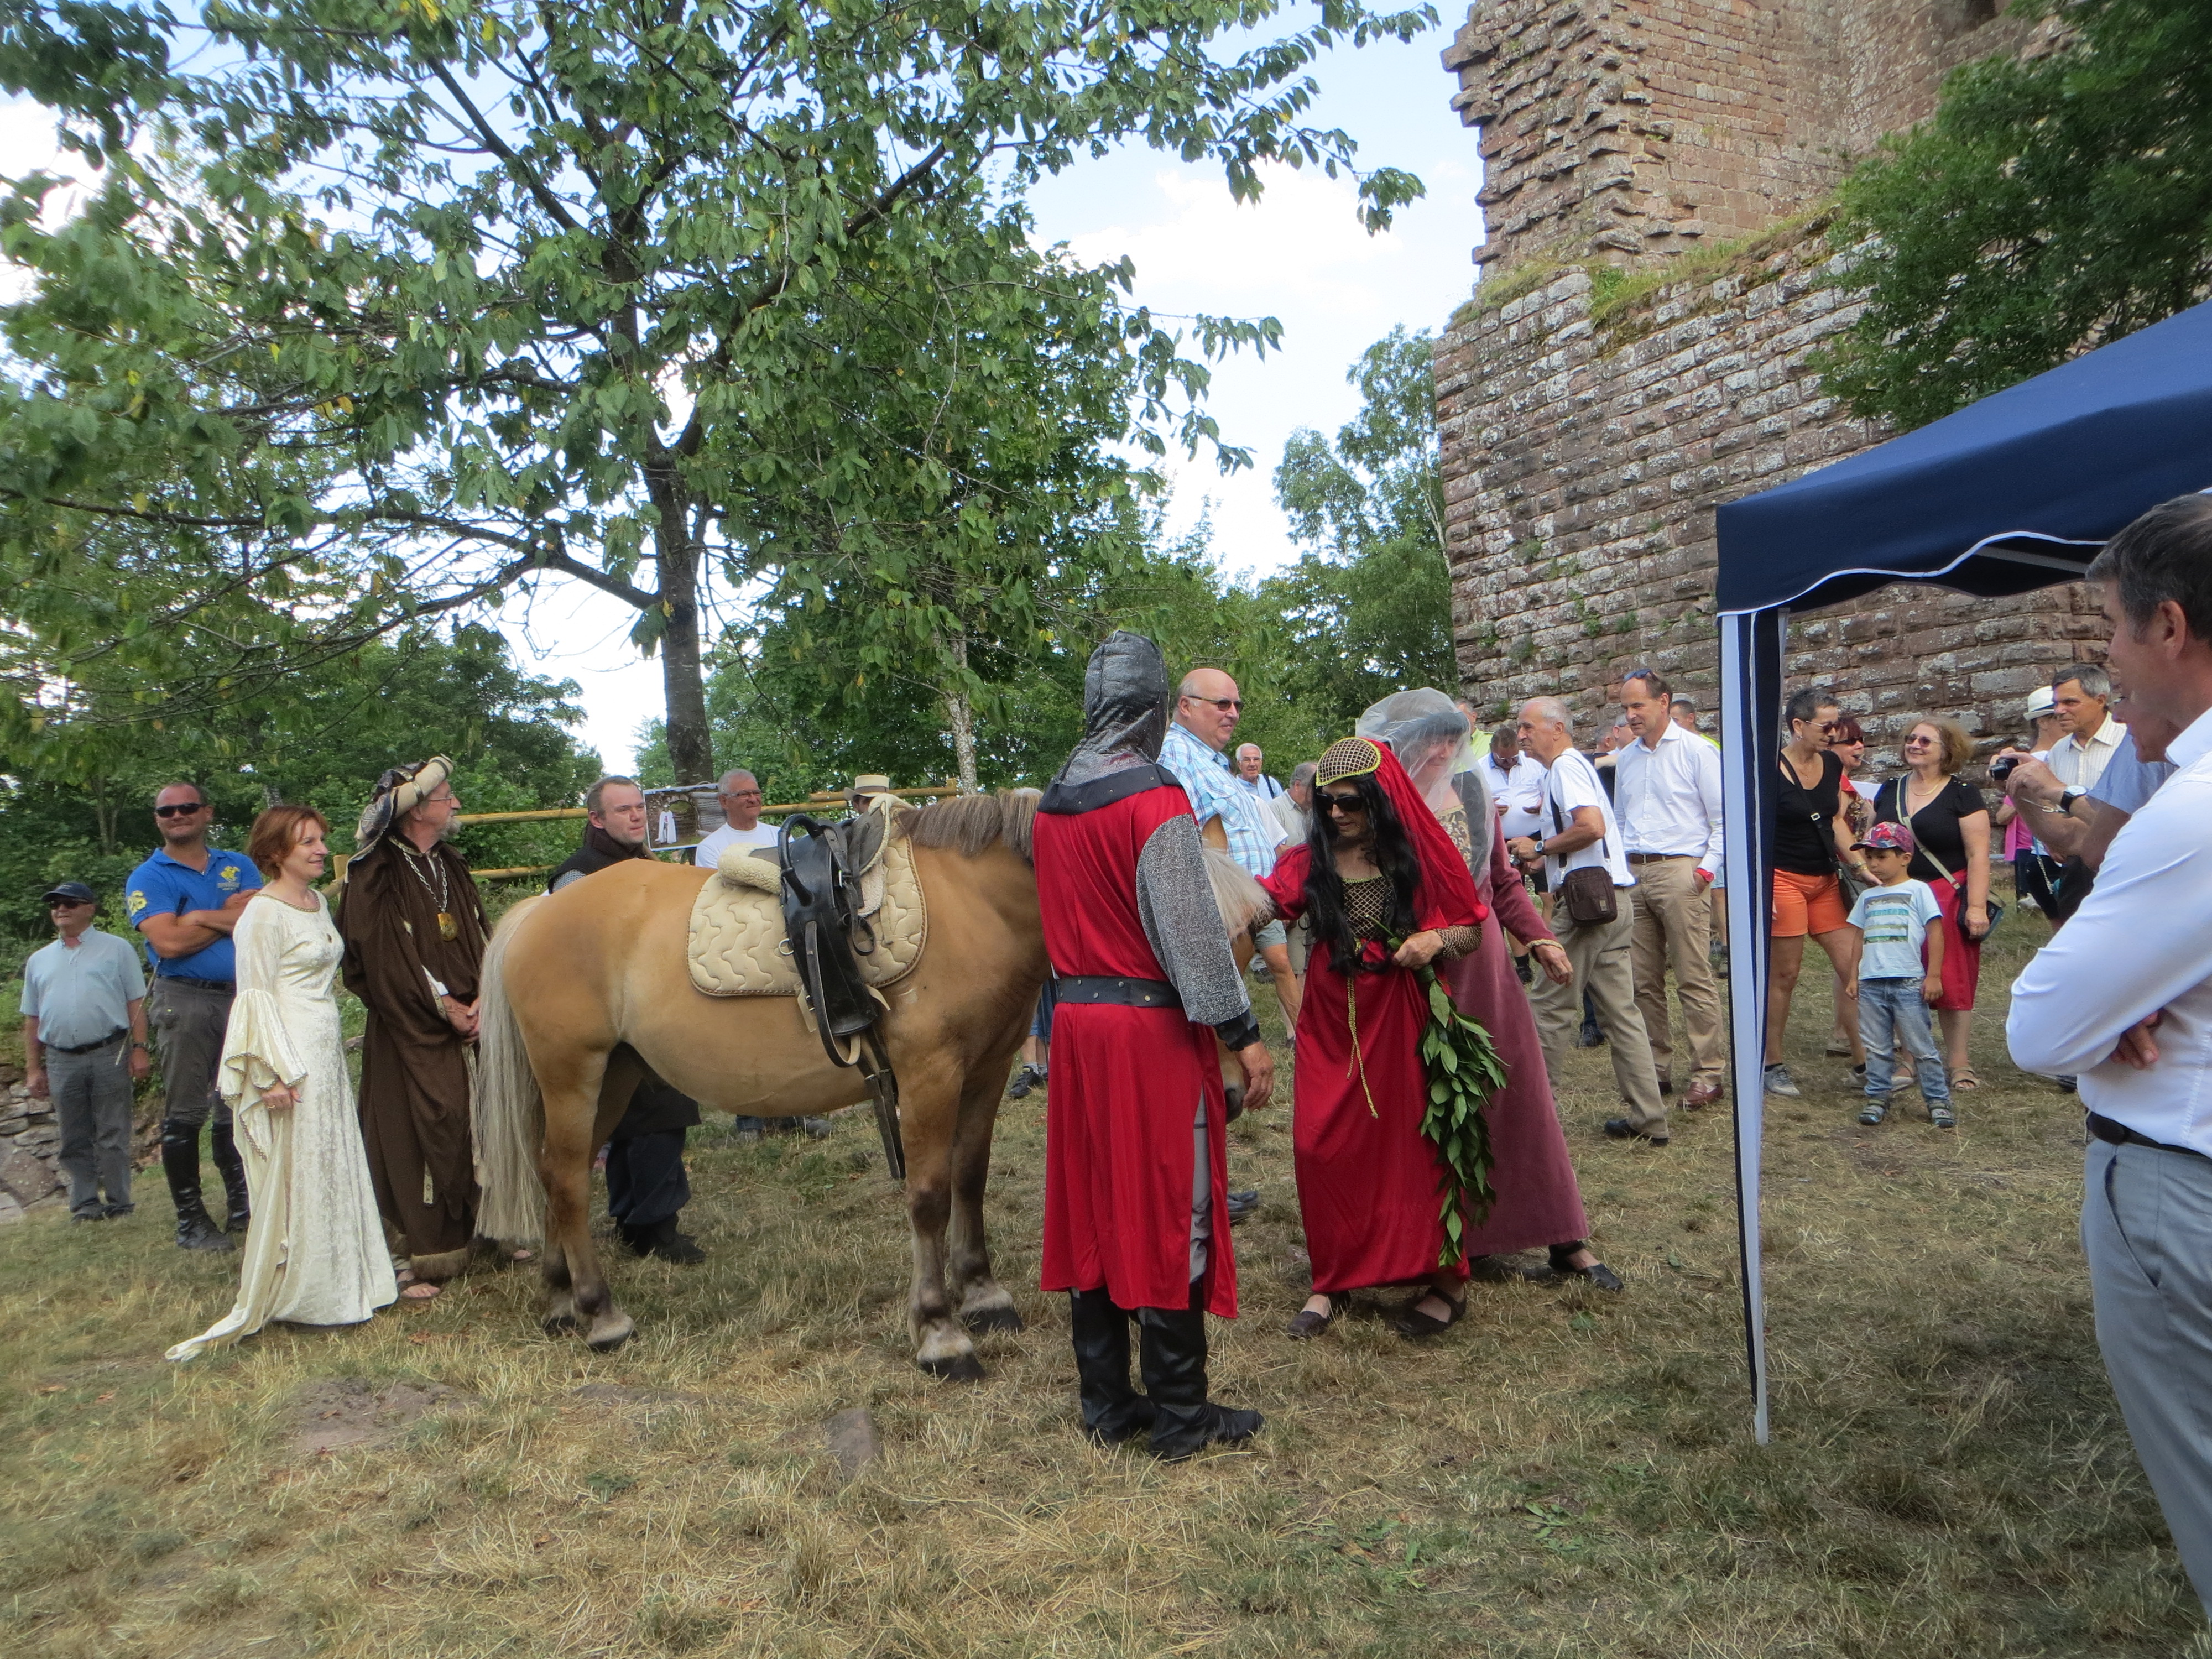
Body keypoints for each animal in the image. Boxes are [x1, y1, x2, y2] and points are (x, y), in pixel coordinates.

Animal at [471, 789, 1272, 1379]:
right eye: (1184, 940)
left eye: (1245, 940)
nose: (1235, 1091)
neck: (974, 903)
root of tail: (539, 909)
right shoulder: (928, 1077)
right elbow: (928, 1196)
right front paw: (941, 1333)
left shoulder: (984, 1072)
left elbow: (970, 1180)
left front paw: (983, 1295)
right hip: (575, 1076)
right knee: (568, 1181)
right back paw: (601, 1316)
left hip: (614, 1077)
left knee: (554, 1174)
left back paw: (560, 1301)